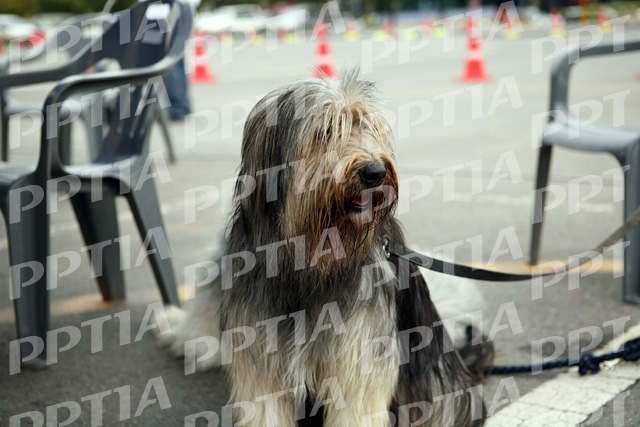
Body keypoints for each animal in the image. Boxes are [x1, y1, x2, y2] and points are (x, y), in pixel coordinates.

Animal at [160, 72, 490, 426]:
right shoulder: (261, 361)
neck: (312, 257)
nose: (374, 172)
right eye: (326, 131)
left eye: (367, 126)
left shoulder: (359, 360)